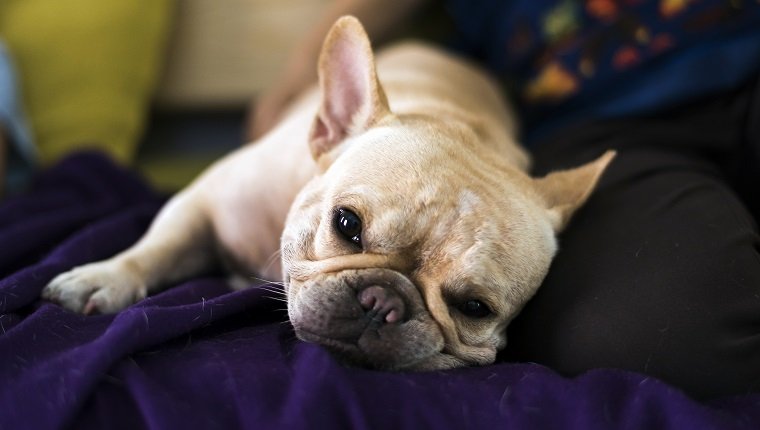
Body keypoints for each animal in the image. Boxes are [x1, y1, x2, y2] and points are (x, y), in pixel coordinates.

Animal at [41, 16, 616, 372]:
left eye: (474, 307)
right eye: (346, 225)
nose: (383, 301)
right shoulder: (204, 200)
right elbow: (156, 247)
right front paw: (104, 277)